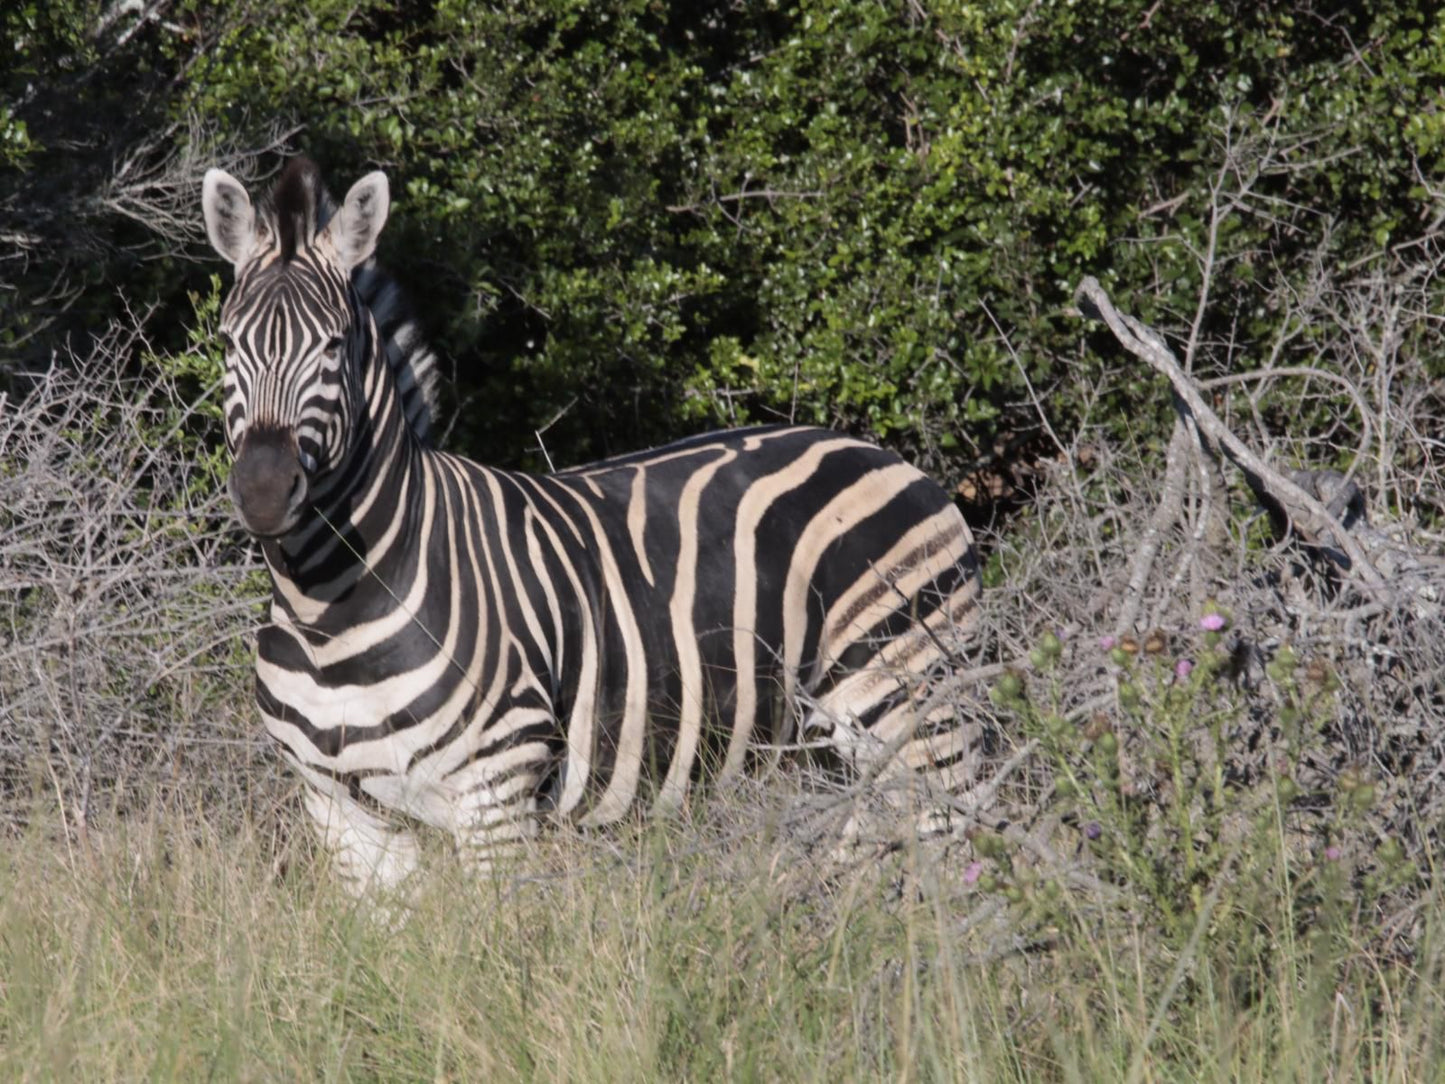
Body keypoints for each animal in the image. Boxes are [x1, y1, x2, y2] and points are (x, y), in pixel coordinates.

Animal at [200, 158, 982, 890]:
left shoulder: (495, 793)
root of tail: (883, 455)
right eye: (227, 343)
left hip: (918, 706)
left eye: (334, 346)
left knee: (957, 852)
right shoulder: (341, 812)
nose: (263, 492)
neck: (330, 614)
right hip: (825, 747)